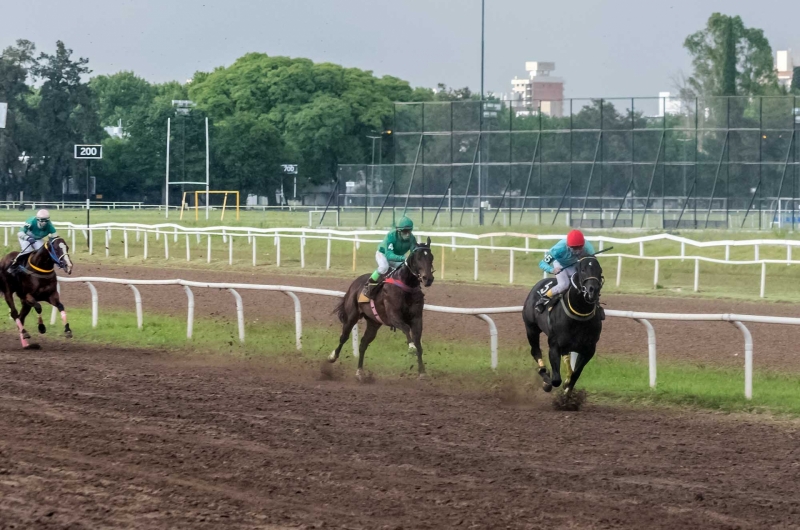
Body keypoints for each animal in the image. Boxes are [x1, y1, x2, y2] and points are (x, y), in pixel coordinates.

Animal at [328, 236, 434, 380]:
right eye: (417, 257)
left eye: (431, 257)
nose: (428, 278)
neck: (406, 285)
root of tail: (354, 284)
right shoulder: (394, 316)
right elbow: (406, 329)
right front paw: (411, 347)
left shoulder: (417, 318)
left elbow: (418, 342)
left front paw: (422, 372)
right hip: (352, 316)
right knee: (344, 337)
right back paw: (332, 356)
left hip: (374, 322)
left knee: (363, 343)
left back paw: (360, 371)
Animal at [520, 254, 604, 394]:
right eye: (583, 270)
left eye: (600, 271)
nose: (593, 290)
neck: (579, 315)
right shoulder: (554, 345)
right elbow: (555, 380)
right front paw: (547, 382)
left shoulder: (589, 348)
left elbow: (576, 374)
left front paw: (568, 387)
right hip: (531, 328)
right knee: (535, 351)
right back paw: (543, 373)